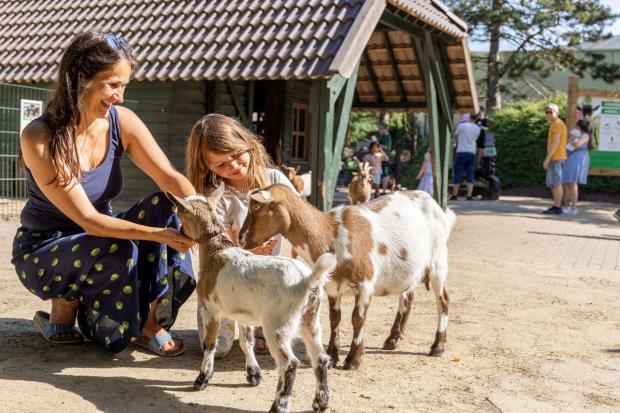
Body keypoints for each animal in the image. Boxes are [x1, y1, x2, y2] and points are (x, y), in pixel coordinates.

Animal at [167, 185, 336, 410]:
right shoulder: (243, 314)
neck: (216, 249)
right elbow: (247, 341)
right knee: (321, 358)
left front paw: (202, 379)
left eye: (180, 214)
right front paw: (253, 375)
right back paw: (320, 402)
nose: (179, 233)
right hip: (310, 320)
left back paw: (279, 406)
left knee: (289, 363)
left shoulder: (211, 308)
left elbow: (210, 344)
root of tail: (308, 280)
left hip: (276, 325)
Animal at [237, 185, 456, 368]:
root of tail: (431, 200)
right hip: (410, 270)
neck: (331, 233)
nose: (240, 238)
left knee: (443, 301)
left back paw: (437, 346)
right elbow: (335, 319)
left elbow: (357, 319)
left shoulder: (365, 284)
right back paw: (392, 340)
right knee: (407, 298)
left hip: (438, 264)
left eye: (256, 206)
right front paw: (333, 357)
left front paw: (353, 359)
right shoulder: (332, 287)